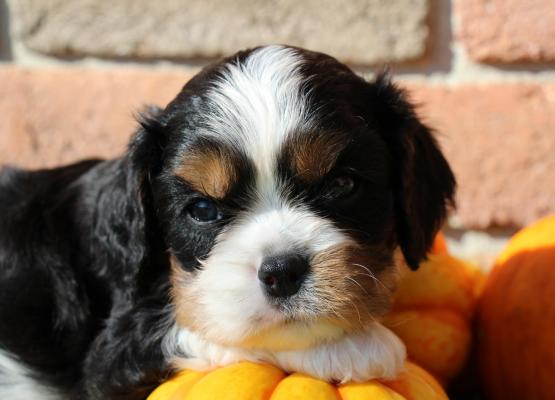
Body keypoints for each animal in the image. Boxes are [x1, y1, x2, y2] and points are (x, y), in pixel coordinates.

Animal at [0, 45, 456, 398]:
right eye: (202, 210)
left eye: (342, 184)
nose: (282, 272)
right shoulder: (110, 356)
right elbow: (204, 322)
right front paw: (356, 347)